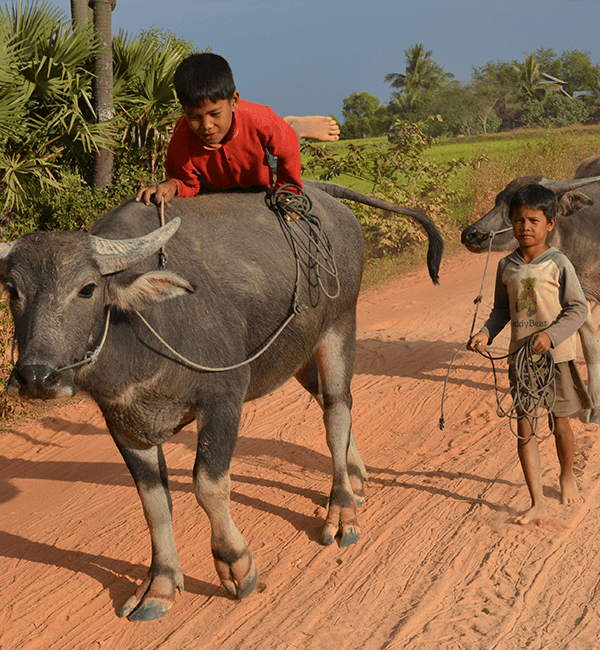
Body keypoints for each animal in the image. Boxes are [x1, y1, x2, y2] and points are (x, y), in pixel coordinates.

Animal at [1, 181, 446, 616]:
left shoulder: (224, 399)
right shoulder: (123, 424)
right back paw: (355, 477)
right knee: (330, 402)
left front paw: (236, 565)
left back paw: (342, 511)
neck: (144, 331)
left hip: (339, 324)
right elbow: (153, 503)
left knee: (336, 410)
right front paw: (160, 584)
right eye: (12, 291)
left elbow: (208, 484)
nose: (36, 376)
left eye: (87, 289)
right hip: (298, 353)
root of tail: (326, 194)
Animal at [462, 175, 600, 422]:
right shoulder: (580, 293)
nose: (471, 234)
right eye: (499, 200)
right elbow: (591, 346)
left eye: (512, 206)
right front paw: (593, 406)